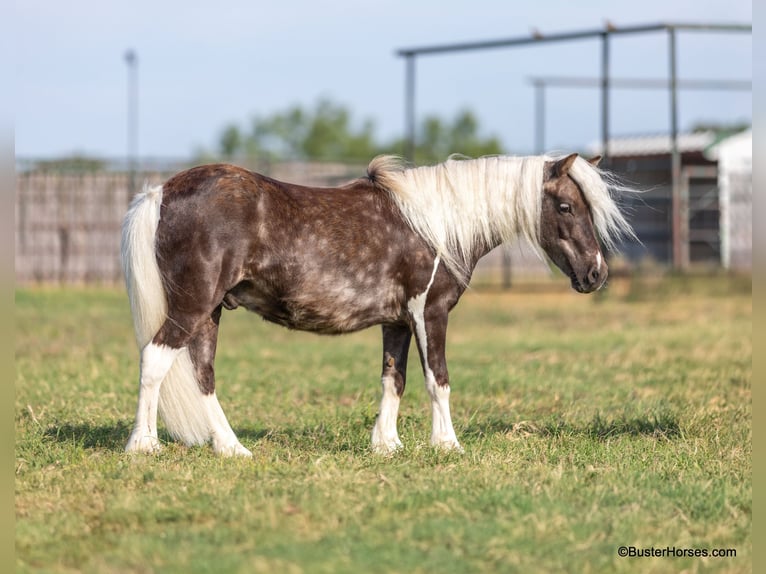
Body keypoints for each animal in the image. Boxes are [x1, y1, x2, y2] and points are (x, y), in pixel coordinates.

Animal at [121, 153, 636, 460]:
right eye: (566, 206)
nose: (596, 273)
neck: (437, 223)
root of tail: (162, 193)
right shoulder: (431, 314)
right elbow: (438, 380)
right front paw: (447, 445)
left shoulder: (399, 322)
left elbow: (395, 379)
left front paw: (387, 444)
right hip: (192, 306)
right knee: (154, 360)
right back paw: (143, 445)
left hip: (210, 313)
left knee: (202, 374)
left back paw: (231, 449)